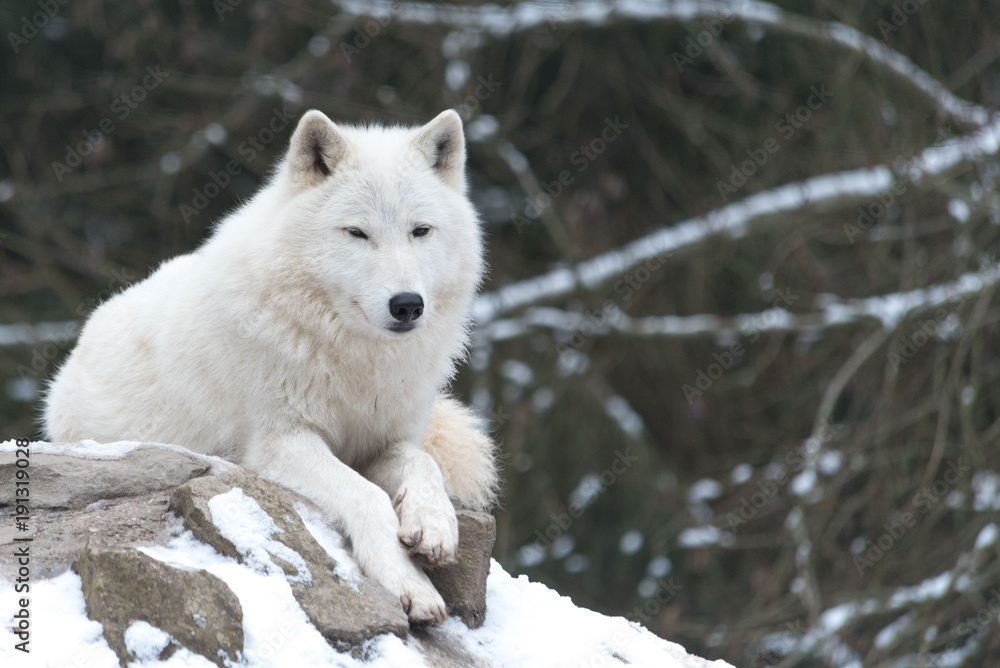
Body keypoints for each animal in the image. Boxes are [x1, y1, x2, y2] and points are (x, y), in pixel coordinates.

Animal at [44, 109, 497, 623]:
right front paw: (408, 582)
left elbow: (424, 463)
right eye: (357, 233)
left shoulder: (383, 441)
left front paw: (434, 524)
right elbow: (367, 495)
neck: (354, 358)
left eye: (420, 230)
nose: (407, 305)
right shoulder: (280, 442)